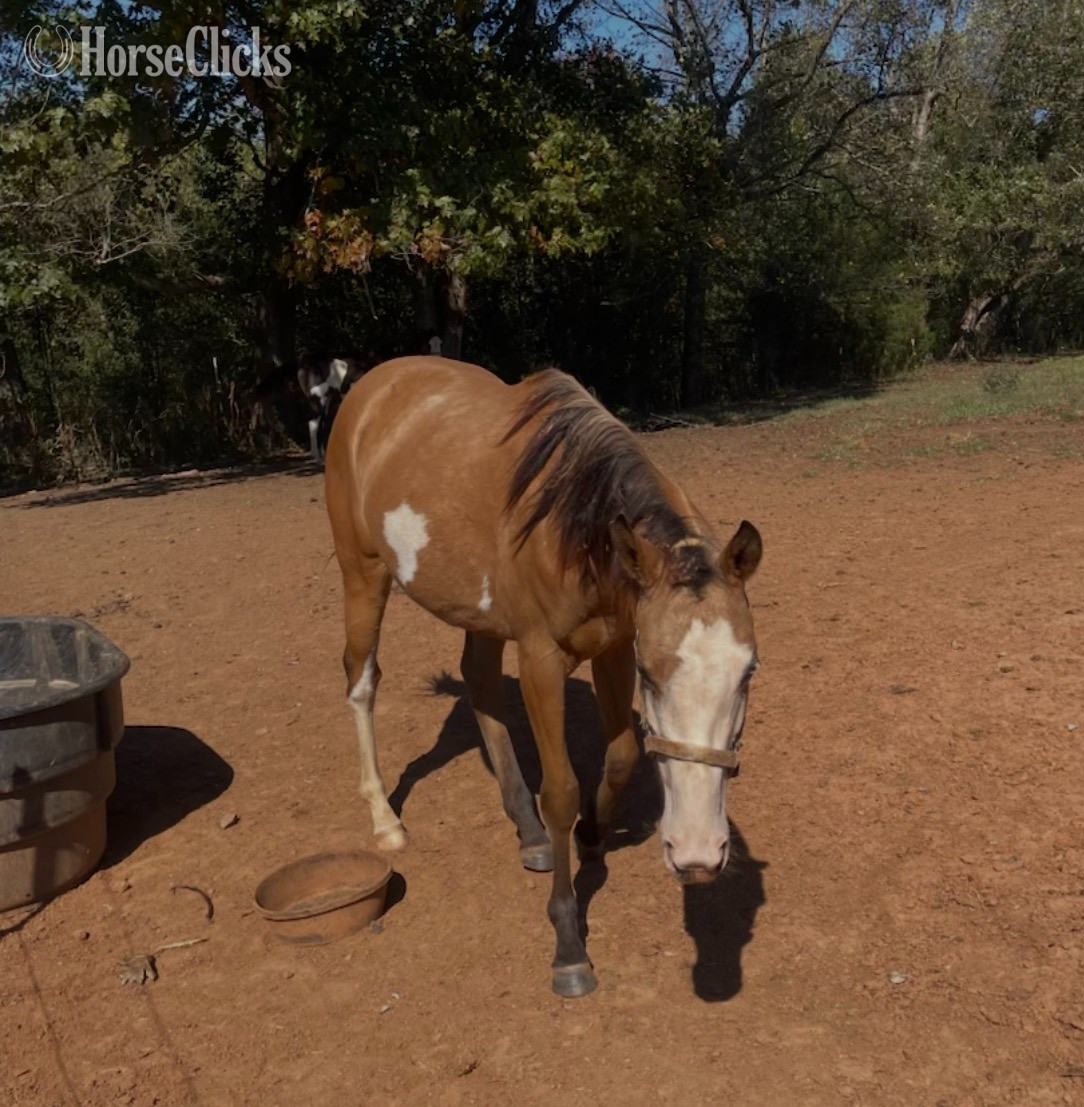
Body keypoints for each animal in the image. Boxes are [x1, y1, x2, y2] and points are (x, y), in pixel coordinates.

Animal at [324, 356, 762, 997]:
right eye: (651, 673)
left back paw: (527, 832)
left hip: (475, 611)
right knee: (361, 682)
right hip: (363, 574)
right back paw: (384, 819)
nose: (699, 854)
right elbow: (560, 792)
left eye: (748, 671)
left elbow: (623, 757)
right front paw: (569, 946)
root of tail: (371, 386)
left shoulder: (611, 646)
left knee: (479, 683)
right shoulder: (541, 659)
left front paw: (589, 835)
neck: (575, 526)